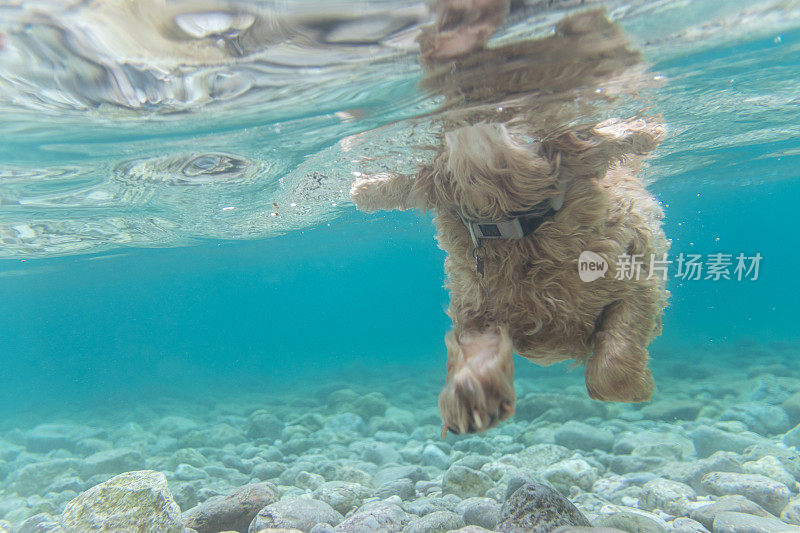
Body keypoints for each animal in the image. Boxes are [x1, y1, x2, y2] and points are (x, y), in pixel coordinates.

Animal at [350, 7, 668, 432]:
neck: (513, 224)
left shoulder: (639, 284)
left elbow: (610, 368)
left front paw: (634, 387)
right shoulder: (475, 311)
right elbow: (474, 349)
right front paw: (472, 396)